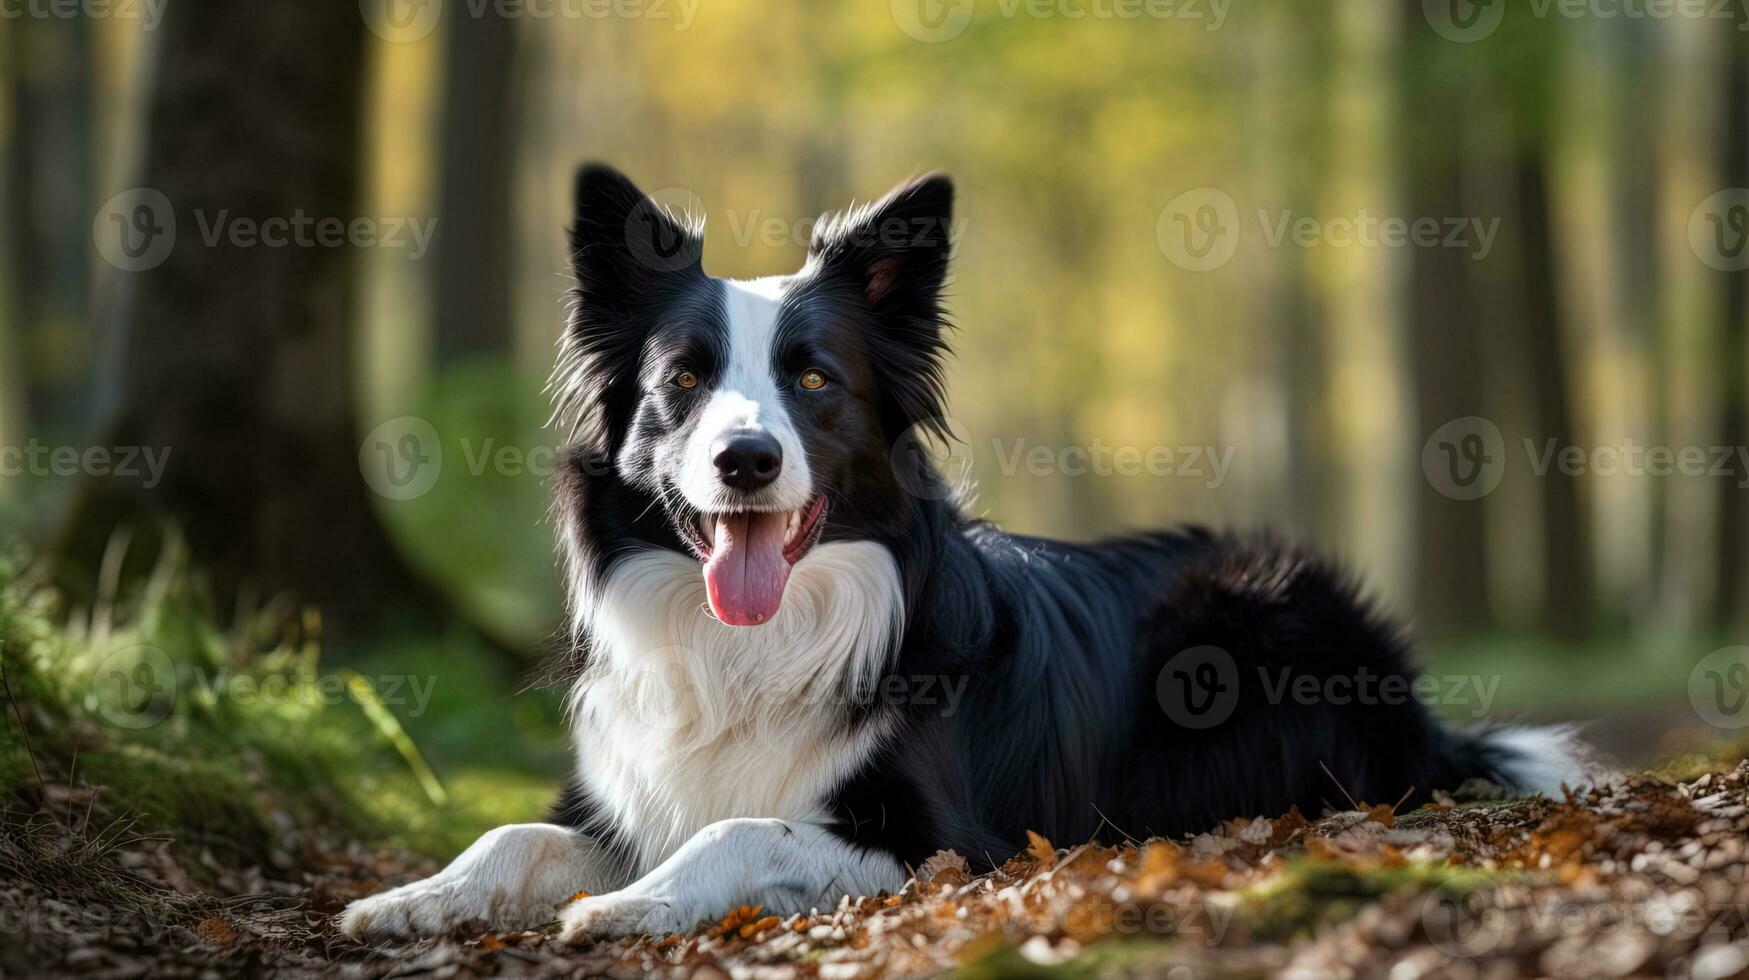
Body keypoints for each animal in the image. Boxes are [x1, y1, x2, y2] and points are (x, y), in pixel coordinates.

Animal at [337, 166, 1588, 945]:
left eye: (814, 379)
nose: (745, 460)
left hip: (1242, 616)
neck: (754, 645)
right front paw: (409, 897)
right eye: (682, 379)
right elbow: (514, 827)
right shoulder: (625, 791)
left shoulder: (941, 839)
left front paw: (627, 906)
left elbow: (743, 826)